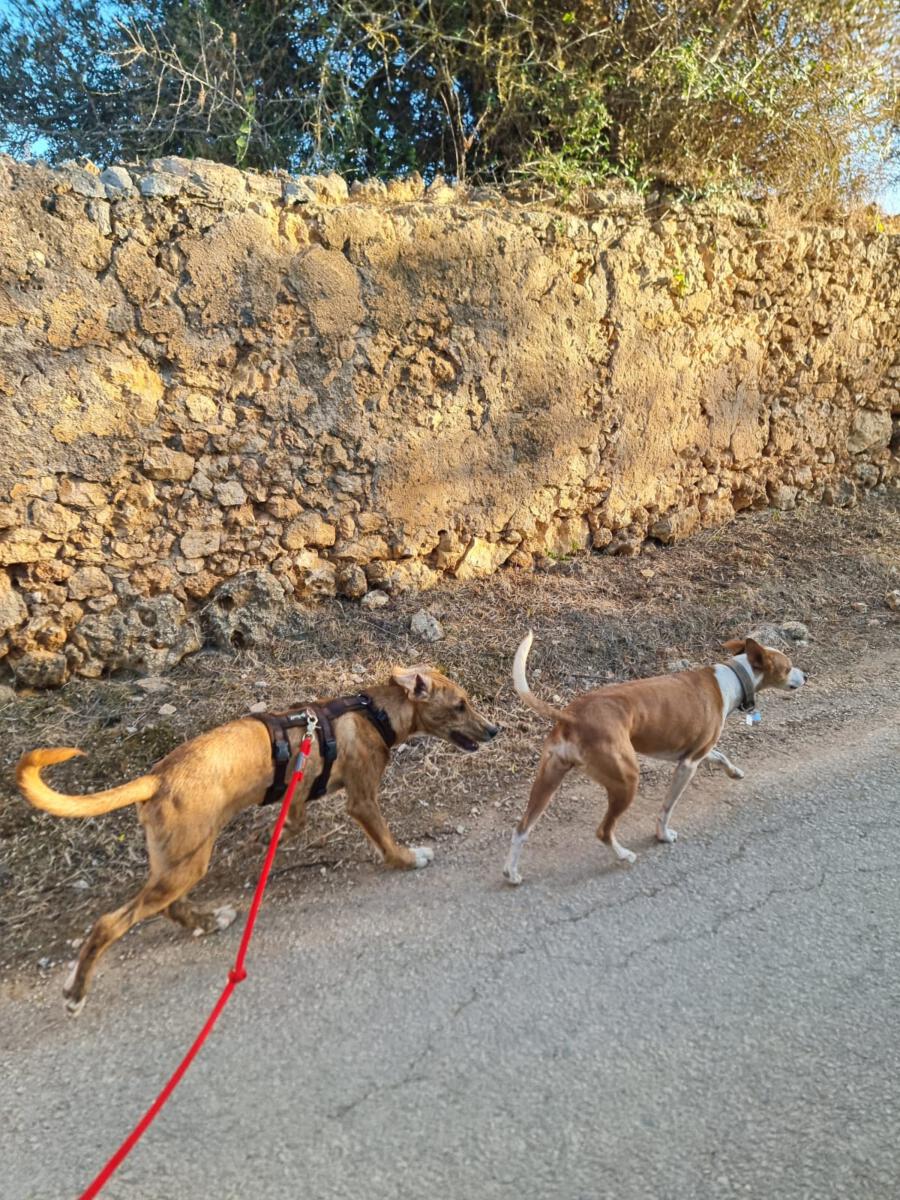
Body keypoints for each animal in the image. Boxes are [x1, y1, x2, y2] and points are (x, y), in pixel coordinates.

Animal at [17, 665, 499, 1013]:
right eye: (459, 705)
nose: (494, 730)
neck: (372, 714)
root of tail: (156, 778)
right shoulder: (362, 801)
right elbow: (386, 841)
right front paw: (408, 857)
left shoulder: (297, 796)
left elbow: (287, 826)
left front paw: (261, 847)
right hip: (185, 864)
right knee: (109, 923)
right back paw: (77, 992)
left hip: (179, 861)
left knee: (170, 907)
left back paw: (210, 920)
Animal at [503, 633, 806, 885]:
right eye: (788, 666)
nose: (806, 675)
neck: (733, 678)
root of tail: (572, 716)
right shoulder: (687, 764)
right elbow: (667, 807)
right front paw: (663, 835)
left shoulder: (696, 751)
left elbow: (720, 755)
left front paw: (734, 771)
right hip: (626, 780)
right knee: (603, 831)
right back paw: (624, 855)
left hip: (548, 780)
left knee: (521, 828)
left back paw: (512, 873)